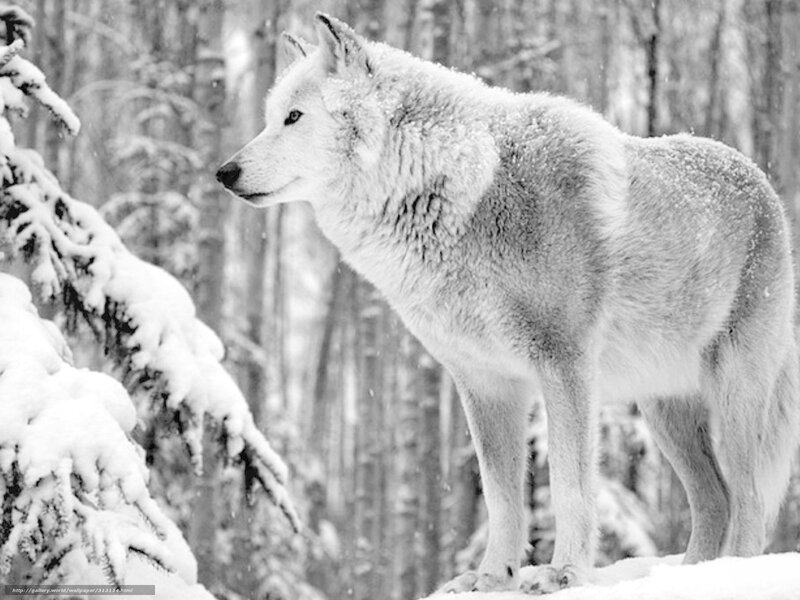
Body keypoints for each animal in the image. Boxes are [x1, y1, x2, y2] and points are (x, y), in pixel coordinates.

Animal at [216, 13, 800, 595]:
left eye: (293, 117)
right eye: (269, 119)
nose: (224, 172)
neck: (459, 189)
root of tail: (761, 182)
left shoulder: (564, 365)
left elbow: (568, 484)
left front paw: (565, 572)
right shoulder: (484, 382)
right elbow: (501, 496)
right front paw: (492, 575)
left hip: (734, 396)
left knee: (747, 497)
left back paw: (733, 573)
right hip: (664, 411)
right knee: (715, 498)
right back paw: (693, 575)